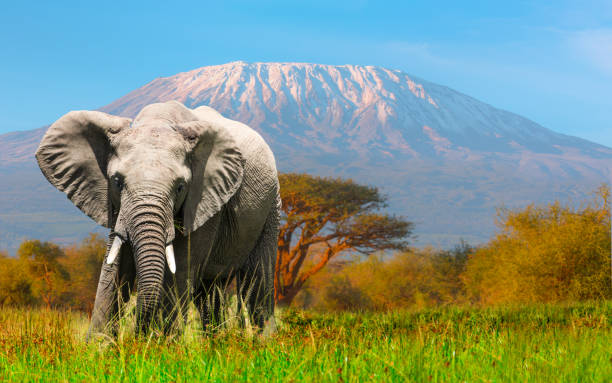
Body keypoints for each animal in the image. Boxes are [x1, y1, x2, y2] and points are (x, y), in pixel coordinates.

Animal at [35, 100, 280, 338]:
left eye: (180, 187)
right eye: (117, 182)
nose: (138, 334)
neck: (159, 120)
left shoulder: (204, 199)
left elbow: (180, 268)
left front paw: (162, 344)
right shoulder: (116, 207)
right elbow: (114, 267)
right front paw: (99, 346)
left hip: (271, 205)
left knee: (256, 283)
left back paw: (263, 342)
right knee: (210, 293)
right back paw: (216, 342)